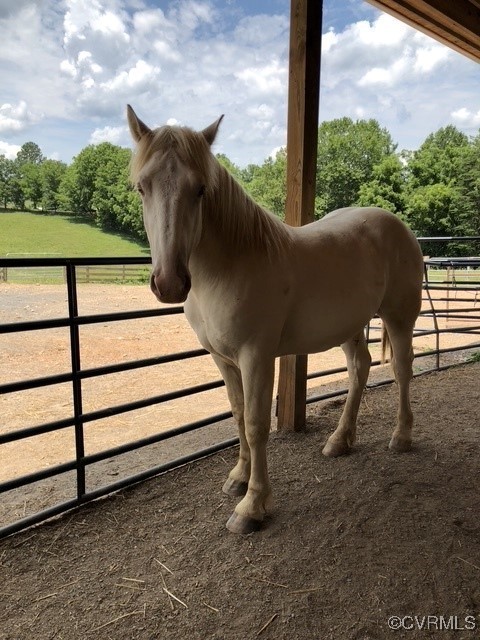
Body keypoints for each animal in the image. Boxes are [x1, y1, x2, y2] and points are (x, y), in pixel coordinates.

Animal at [127, 105, 424, 535]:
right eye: (141, 187)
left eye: (200, 189)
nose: (169, 283)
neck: (232, 264)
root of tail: (397, 225)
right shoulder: (223, 359)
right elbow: (237, 415)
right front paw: (238, 478)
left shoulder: (257, 357)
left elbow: (255, 424)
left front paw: (252, 506)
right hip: (350, 325)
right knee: (360, 369)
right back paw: (340, 440)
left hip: (400, 317)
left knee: (401, 370)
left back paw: (401, 437)